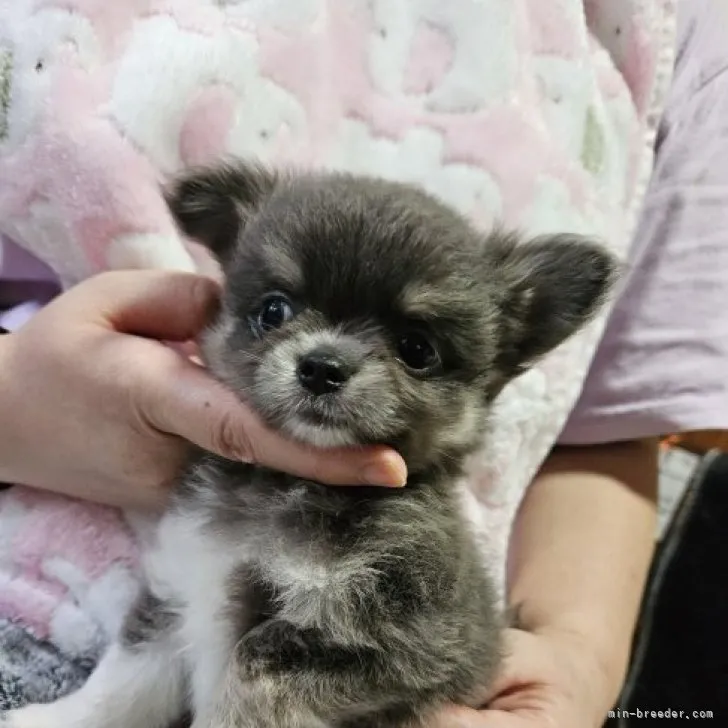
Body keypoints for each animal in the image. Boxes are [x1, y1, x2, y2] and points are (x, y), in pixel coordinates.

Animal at [4, 162, 620, 728]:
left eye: (417, 349)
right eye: (274, 310)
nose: (322, 366)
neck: (288, 488)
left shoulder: (383, 643)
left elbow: (247, 677)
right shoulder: (181, 588)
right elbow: (121, 685)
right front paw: (51, 719)